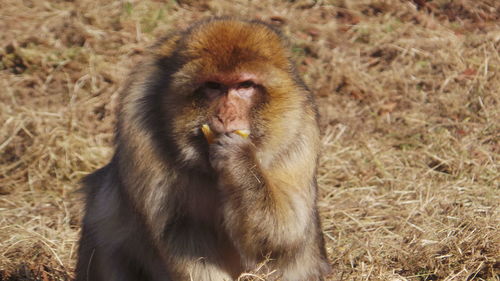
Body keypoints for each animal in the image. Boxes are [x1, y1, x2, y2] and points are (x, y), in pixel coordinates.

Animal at [74, 18, 330, 280]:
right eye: (213, 86)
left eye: (245, 85)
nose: (226, 115)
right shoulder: (140, 131)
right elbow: (182, 229)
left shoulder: (298, 133)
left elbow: (283, 233)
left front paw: (238, 158)